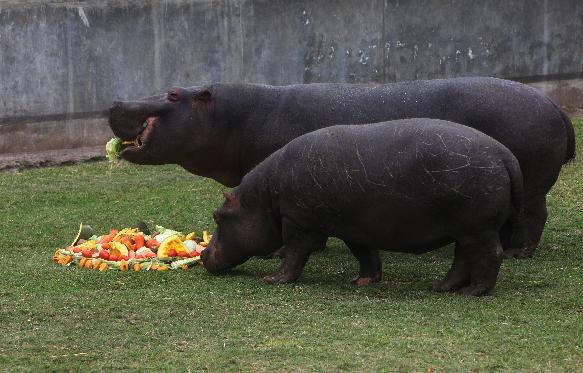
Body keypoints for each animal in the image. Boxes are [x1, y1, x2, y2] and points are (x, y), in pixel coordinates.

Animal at [108, 76, 576, 258]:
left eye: (173, 94)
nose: (115, 101)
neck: (231, 116)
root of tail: (555, 104)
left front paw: (280, 251)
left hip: (533, 186)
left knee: (535, 216)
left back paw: (518, 254)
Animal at [201, 117, 524, 294]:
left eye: (218, 216)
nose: (203, 254)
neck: (264, 197)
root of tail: (505, 155)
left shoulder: (298, 223)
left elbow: (293, 254)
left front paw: (273, 279)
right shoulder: (353, 228)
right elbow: (366, 255)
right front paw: (362, 281)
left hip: (477, 228)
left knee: (489, 254)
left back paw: (474, 292)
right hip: (465, 230)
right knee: (462, 259)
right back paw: (441, 288)